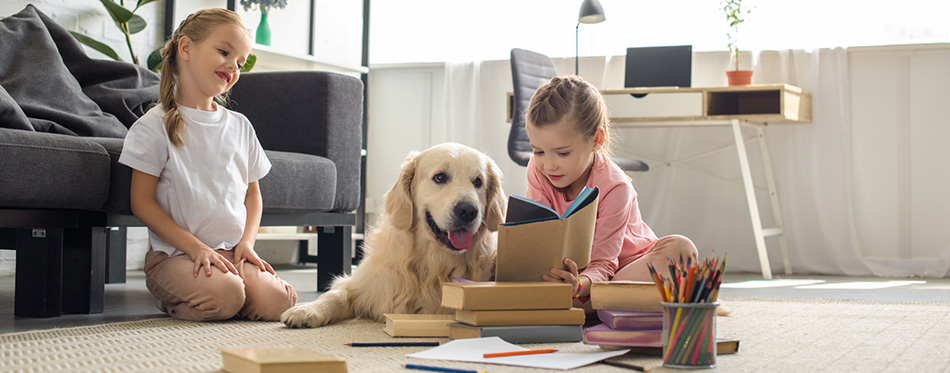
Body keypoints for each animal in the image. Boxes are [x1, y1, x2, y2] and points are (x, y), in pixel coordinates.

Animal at [280, 142, 506, 326]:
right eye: (440, 177)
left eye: (478, 182)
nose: (468, 210)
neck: (432, 263)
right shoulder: (364, 285)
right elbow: (335, 295)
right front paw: (306, 310)